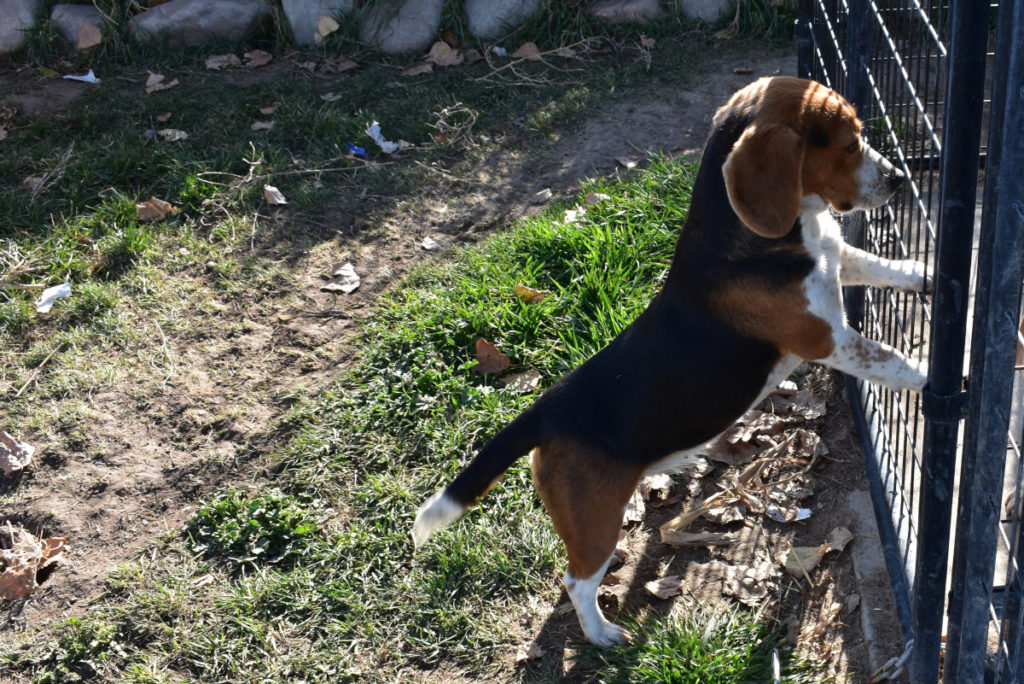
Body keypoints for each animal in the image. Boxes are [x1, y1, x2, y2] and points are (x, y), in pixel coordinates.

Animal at [409, 78, 929, 647]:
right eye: (849, 143)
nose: (898, 179)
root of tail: (544, 411)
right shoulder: (826, 339)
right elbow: (890, 360)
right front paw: (939, 377)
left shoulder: (840, 261)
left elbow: (878, 265)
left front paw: (923, 274)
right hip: (596, 521)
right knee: (575, 581)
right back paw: (602, 634)